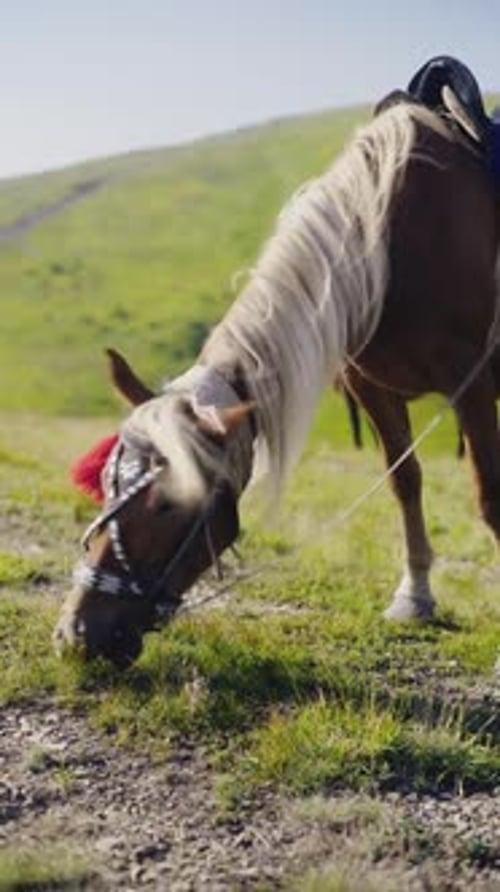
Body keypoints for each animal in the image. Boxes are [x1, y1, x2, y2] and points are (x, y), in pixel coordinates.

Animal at [53, 98, 500, 667]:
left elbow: (489, 497)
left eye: (168, 506)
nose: (76, 635)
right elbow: (405, 480)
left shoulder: (472, 383)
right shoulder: (371, 389)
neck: (394, 246)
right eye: (108, 482)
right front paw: (414, 595)